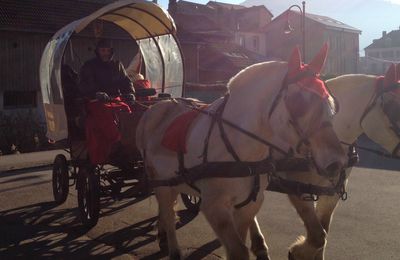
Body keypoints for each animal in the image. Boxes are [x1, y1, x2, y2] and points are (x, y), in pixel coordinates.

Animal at [135, 45, 346, 260]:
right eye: (297, 102)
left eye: (331, 103)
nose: (336, 163)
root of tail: (156, 107)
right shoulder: (215, 207)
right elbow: (238, 251)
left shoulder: (248, 206)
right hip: (160, 182)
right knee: (168, 214)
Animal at [256, 63, 400, 260]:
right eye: (391, 107)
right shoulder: (297, 187)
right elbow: (318, 237)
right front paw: (297, 251)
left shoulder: (331, 192)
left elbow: (323, 231)